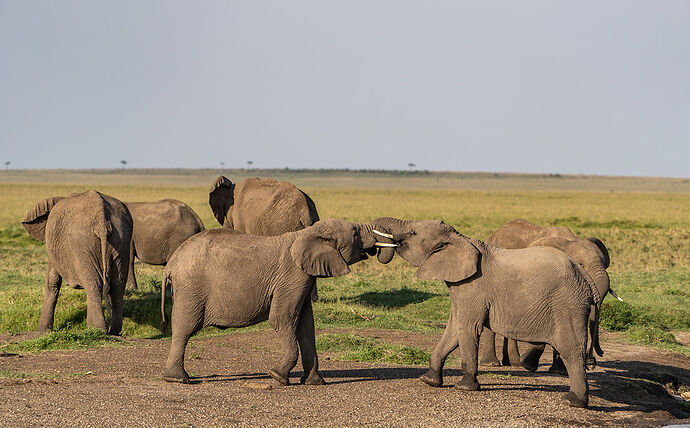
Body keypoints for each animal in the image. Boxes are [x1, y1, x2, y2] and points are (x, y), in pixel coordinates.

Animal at [21, 190, 132, 334]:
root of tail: (102, 223)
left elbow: (52, 281)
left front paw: (41, 332)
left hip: (82, 245)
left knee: (94, 285)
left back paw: (95, 330)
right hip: (122, 240)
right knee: (118, 286)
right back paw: (113, 331)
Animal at [158, 219, 390, 386]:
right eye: (355, 233)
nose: (374, 249)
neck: (307, 233)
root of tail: (171, 264)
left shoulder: (304, 277)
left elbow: (306, 325)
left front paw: (315, 382)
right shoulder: (292, 276)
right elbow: (282, 319)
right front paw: (277, 376)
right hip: (191, 287)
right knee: (185, 328)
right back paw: (178, 379)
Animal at [478, 219, 612, 372]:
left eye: (605, 264)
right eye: (581, 264)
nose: (591, 363)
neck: (570, 240)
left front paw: (559, 371)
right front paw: (529, 365)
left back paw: (513, 363)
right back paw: (493, 363)